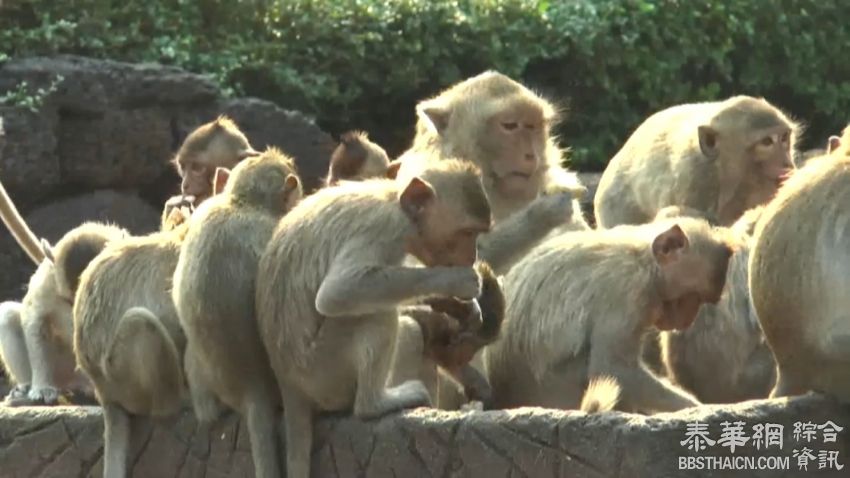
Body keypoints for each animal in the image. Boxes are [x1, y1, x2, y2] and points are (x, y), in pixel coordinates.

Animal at [258, 159, 494, 476]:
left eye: (478, 233)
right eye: (468, 233)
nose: (473, 255)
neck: (396, 202)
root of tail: (289, 382)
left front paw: (460, 307)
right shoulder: (384, 230)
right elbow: (338, 293)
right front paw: (455, 282)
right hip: (325, 373)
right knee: (378, 315)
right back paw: (375, 404)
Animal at [484, 215, 736, 412]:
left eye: (700, 301)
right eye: (690, 298)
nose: (687, 319)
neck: (644, 261)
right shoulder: (626, 292)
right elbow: (610, 368)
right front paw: (696, 407)